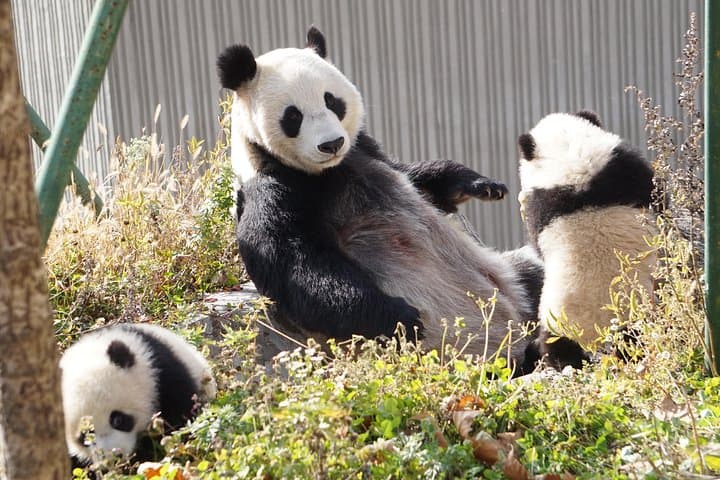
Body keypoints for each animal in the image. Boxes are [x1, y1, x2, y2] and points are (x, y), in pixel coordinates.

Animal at [216, 27, 542, 369]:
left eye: (332, 101)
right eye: (293, 116)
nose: (332, 144)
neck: (325, 172)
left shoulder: (364, 151)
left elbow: (416, 178)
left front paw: (481, 185)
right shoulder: (273, 188)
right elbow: (296, 265)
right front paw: (404, 318)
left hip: (510, 272)